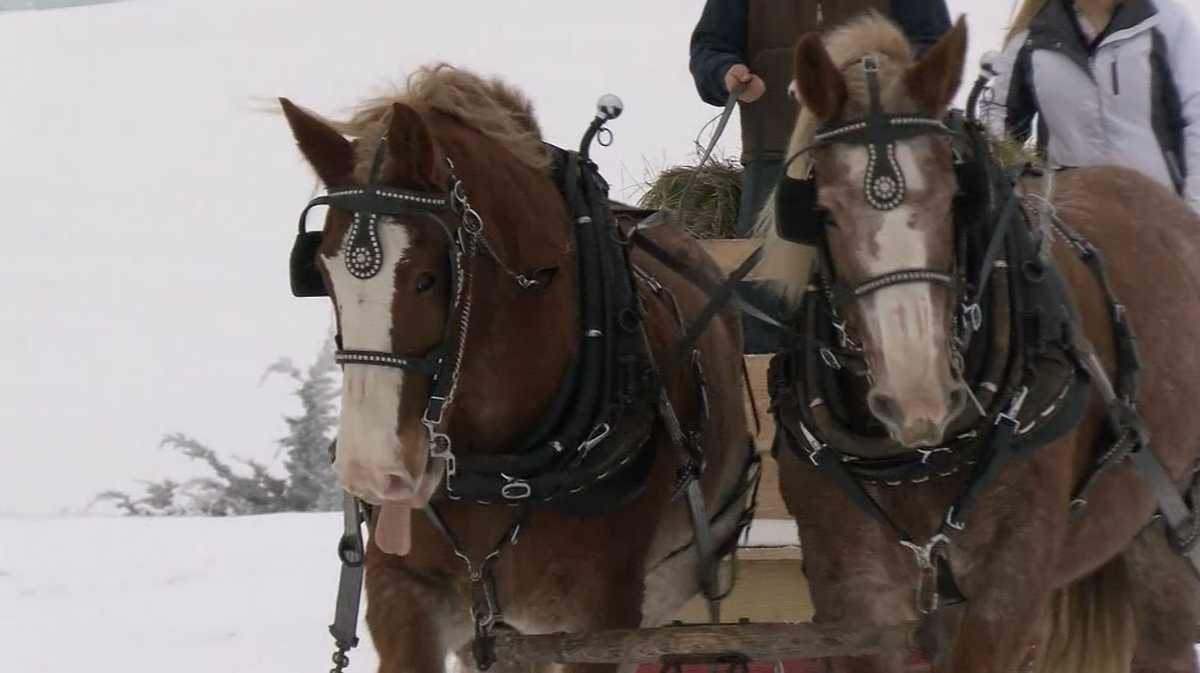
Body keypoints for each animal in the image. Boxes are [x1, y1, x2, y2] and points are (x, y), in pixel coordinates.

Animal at [279, 65, 757, 673]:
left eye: (427, 278)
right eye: (320, 272)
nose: (372, 472)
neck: (504, 468)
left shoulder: (599, 616)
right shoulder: (404, 594)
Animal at [754, 14, 1200, 673]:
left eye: (952, 198)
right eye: (824, 213)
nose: (918, 401)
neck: (917, 458)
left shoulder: (1005, 591)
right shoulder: (855, 595)